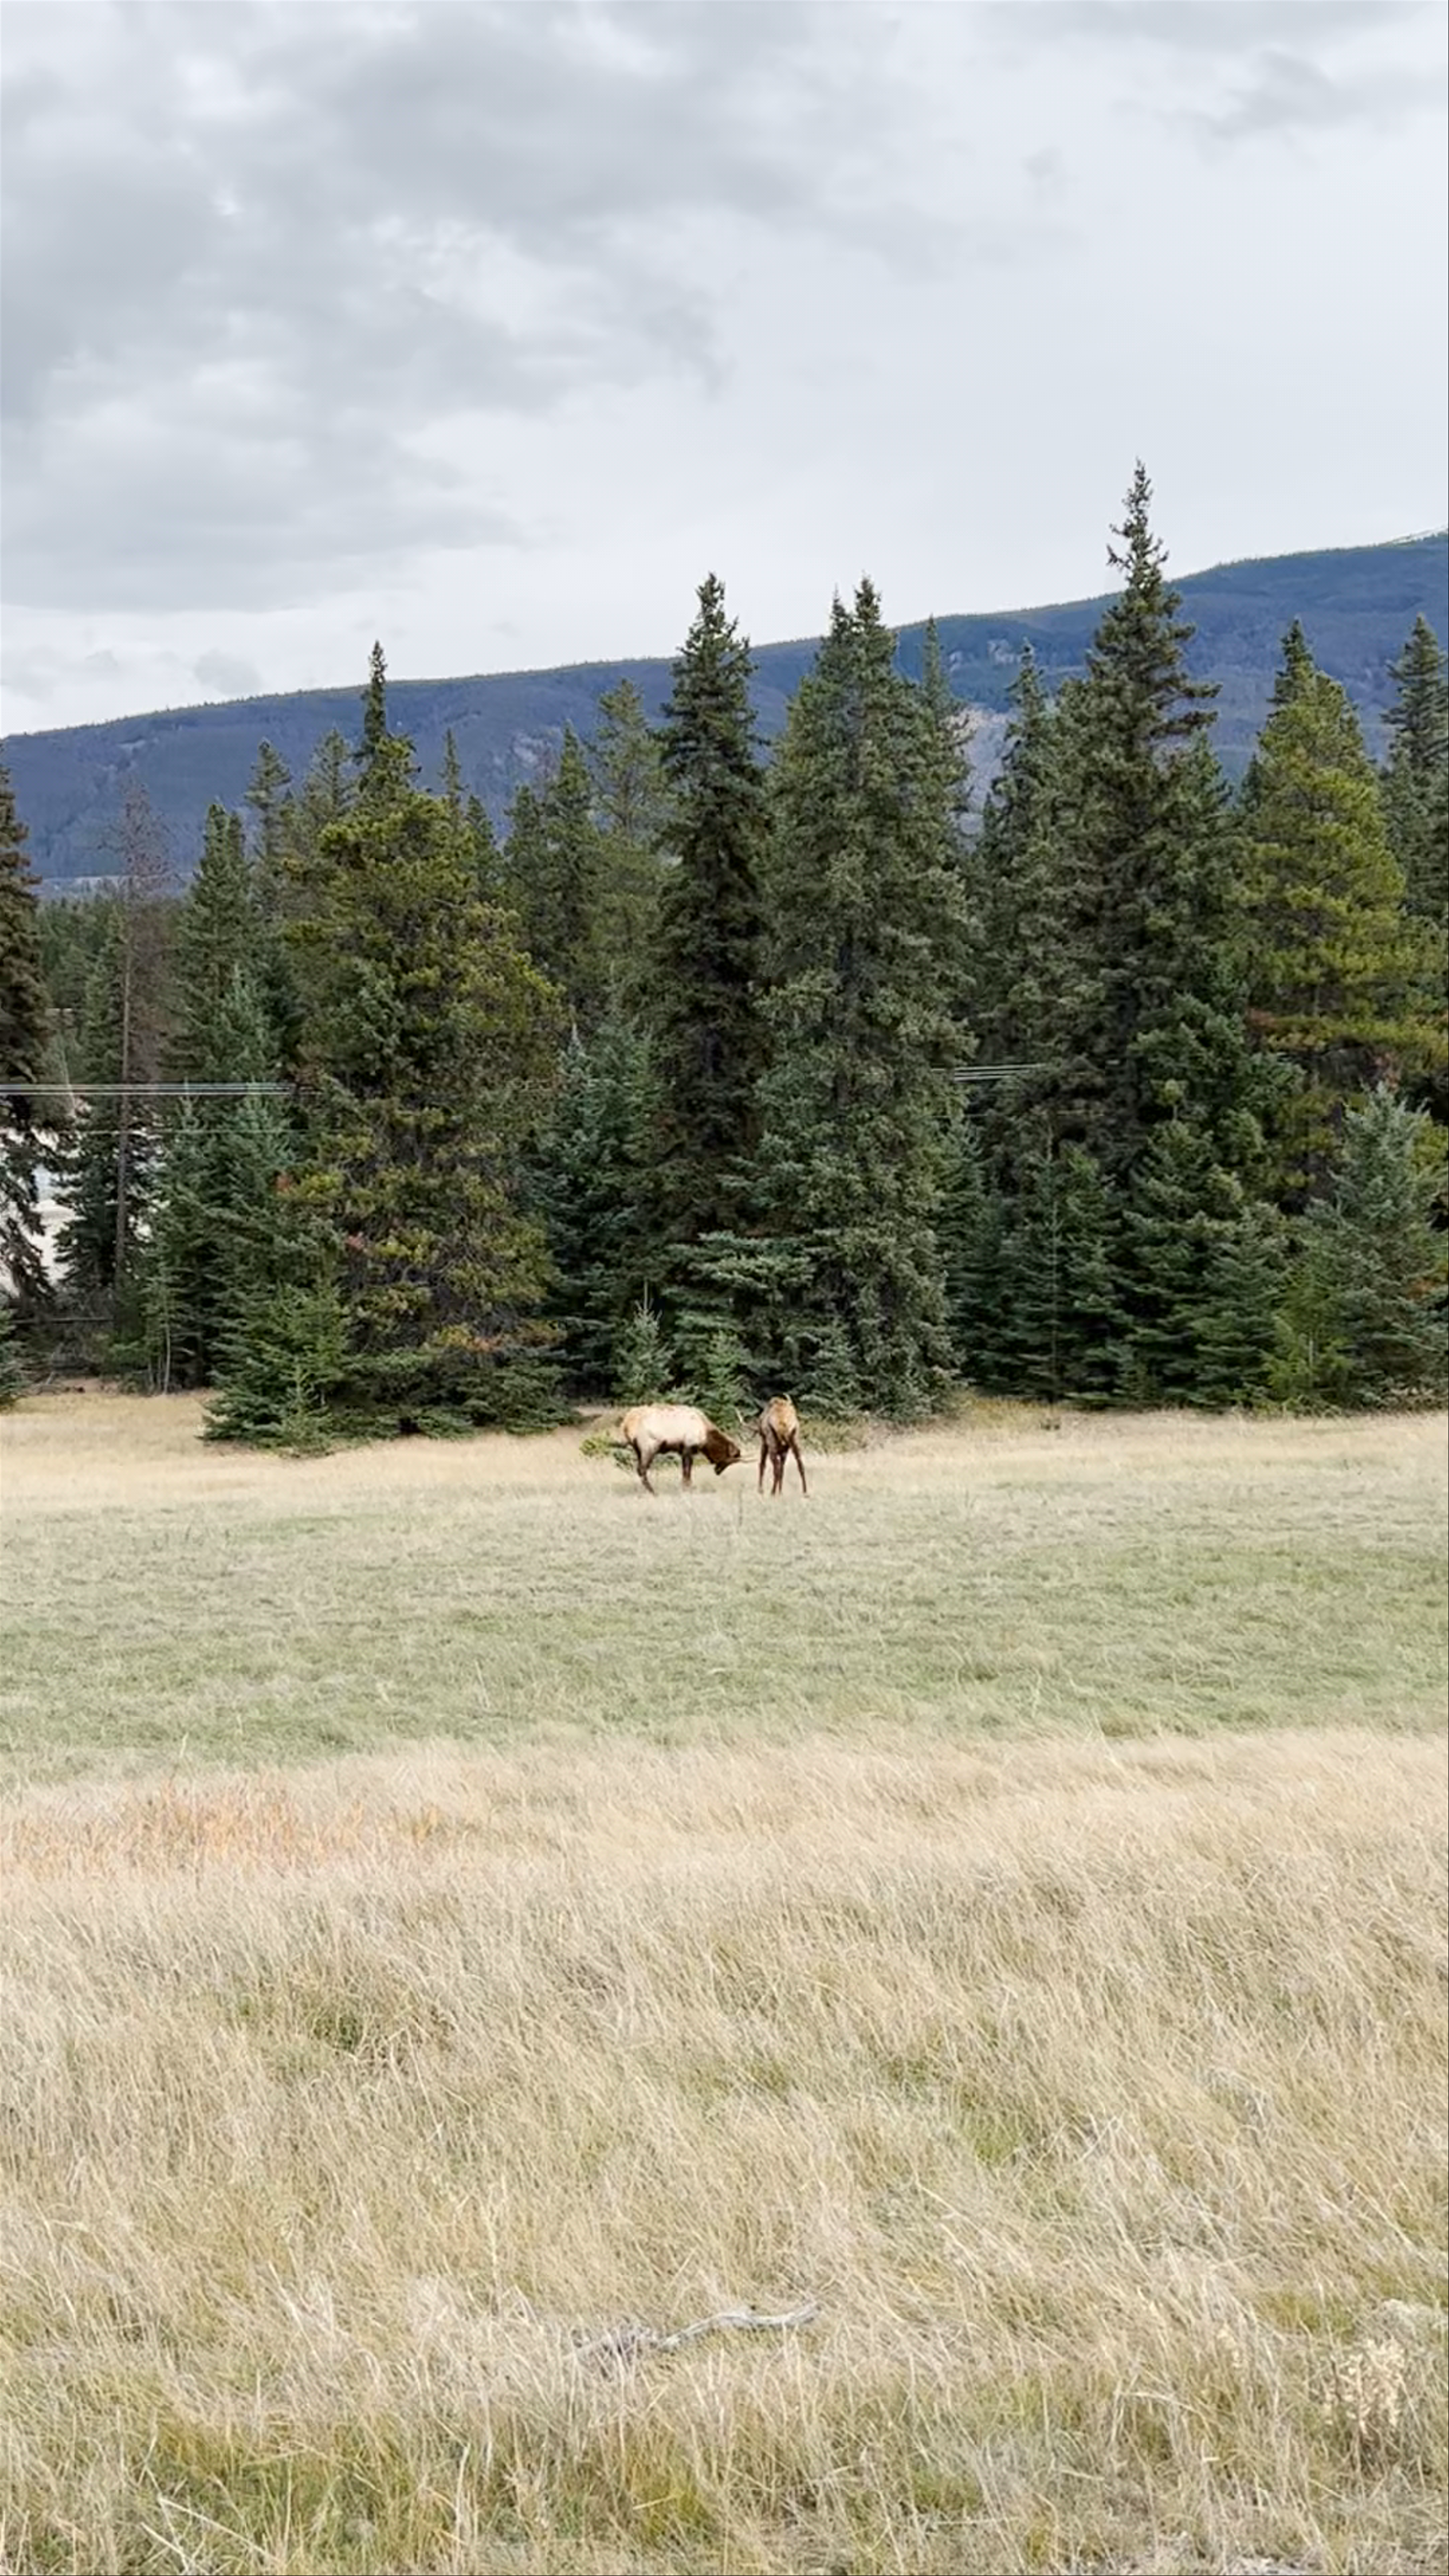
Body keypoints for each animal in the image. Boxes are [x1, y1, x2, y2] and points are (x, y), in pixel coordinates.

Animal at [618, 1404, 743, 1497]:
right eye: (729, 1459)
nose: (718, 1471)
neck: (706, 1436)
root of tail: (626, 1426)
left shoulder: (682, 1450)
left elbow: (685, 1471)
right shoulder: (688, 1447)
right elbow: (687, 1471)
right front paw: (688, 1488)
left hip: (638, 1450)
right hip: (649, 1447)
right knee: (642, 1470)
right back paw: (654, 1492)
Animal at [756, 1395, 808, 1498]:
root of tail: (784, 1424)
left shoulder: (765, 1442)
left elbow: (763, 1465)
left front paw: (761, 1490)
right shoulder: (784, 1450)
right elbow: (783, 1470)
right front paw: (780, 1492)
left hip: (772, 1444)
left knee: (776, 1469)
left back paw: (772, 1492)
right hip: (795, 1440)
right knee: (800, 1465)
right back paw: (805, 1492)